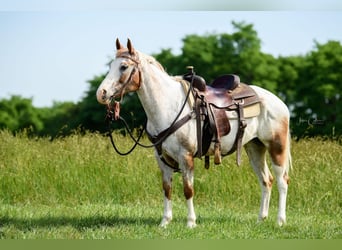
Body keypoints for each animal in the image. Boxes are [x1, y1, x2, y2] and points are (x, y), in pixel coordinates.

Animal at [95, 38, 292, 228]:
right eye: (111, 66)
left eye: (123, 66)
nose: (101, 93)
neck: (168, 105)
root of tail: (278, 102)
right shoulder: (162, 158)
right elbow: (167, 189)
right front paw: (164, 222)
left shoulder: (186, 156)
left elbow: (188, 190)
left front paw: (191, 222)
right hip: (254, 148)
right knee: (266, 181)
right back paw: (261, 219)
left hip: (276, 146)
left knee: (282, 180)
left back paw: (280, 221)